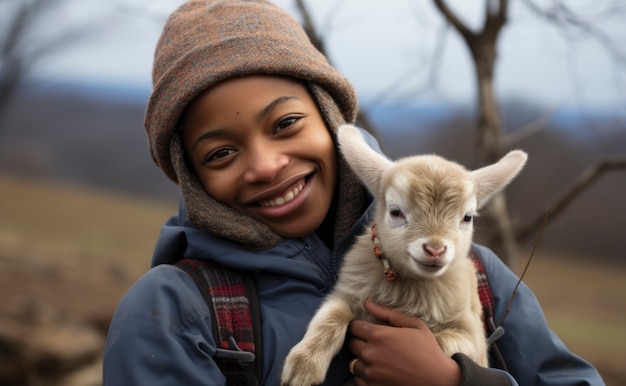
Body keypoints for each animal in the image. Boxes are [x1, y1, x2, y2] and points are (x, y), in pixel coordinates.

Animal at [280, 124, 524, 386]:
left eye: (467, 217)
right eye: (395, 212)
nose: (435, 249)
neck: (409, 287)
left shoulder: (472, 336)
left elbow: (438, 341)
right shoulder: (347, 294)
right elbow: (330, 319)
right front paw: (301, 369)